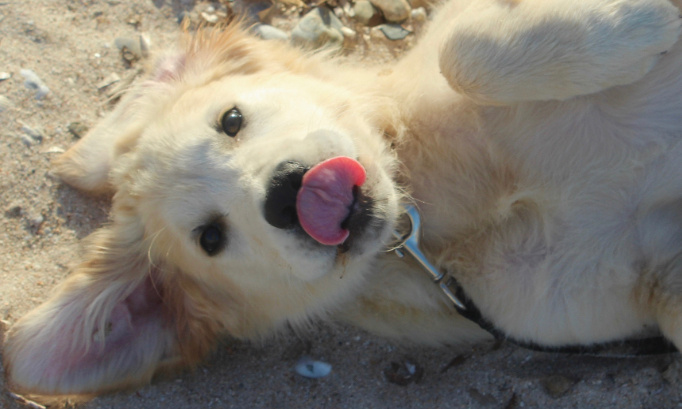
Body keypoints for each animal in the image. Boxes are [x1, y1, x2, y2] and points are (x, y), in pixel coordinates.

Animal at [3, 0, 680, 398]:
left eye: (230, 120)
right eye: (210, 238)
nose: (288, 194)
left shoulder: (463, 28)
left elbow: (465, 52)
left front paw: (644, 18)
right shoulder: (610, 293)